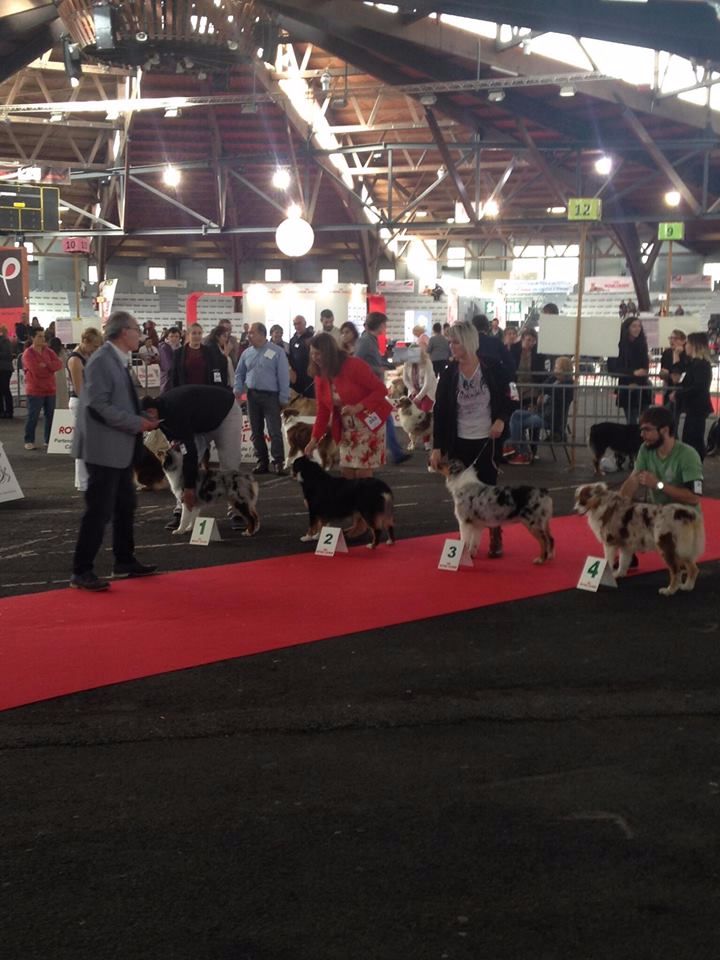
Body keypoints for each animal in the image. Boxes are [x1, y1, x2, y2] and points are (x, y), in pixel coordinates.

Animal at [574, 482, 704, 595]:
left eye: (583, 500)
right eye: (577, 499)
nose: (574, 510)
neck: (604, 506)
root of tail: (687, 513)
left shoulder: (609, 543)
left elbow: (608, 561)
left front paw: (604, 576)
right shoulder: (626, 545)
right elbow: (623, 561)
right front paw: (619, 574)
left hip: (666, 545)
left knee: (676, 570)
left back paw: (669, 590)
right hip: (684, 548)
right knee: (693, 568)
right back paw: (687, 586)